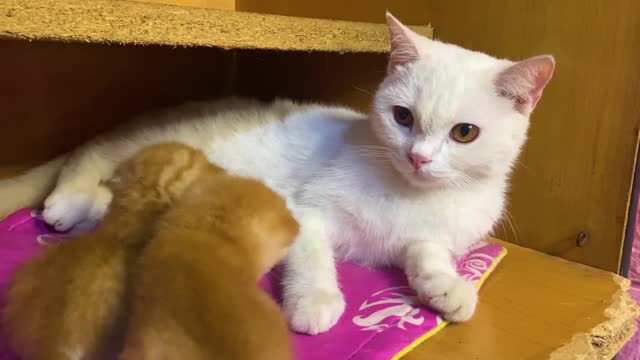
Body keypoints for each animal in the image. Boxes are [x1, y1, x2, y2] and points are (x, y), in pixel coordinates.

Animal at [0, 14, 556, 334]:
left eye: (465, 133)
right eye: (402, 117)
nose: (419, 157)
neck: (408, 193)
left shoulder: (431, 235)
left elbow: (426, 252)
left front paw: (446, 287)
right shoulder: (305, 213)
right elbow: (311, 257)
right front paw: (314, 302)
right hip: (156, 144)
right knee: (88, 155)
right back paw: (66, 202)